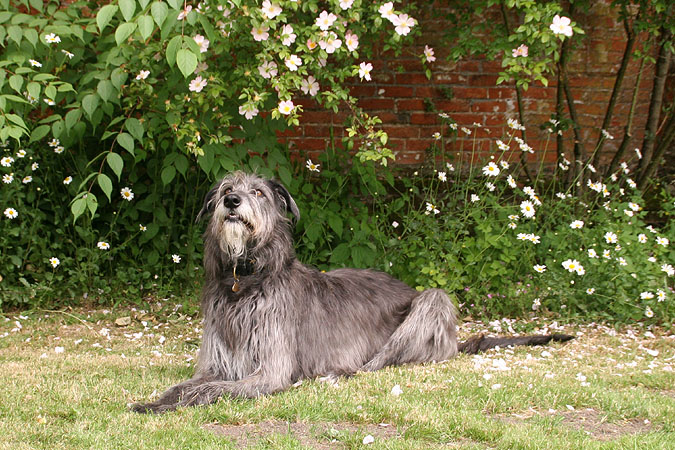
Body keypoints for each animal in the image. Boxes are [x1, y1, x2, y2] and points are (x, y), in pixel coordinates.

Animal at [131, 171, 572, 413]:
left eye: (258, 192)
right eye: (225, 187)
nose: (232, 200)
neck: (247, 281)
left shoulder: (270, 370)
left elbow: (209, 391)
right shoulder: (216, 361)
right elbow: (189, 385)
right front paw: (155, 400)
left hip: (433, 299)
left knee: (381, 361)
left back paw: (339, 372)